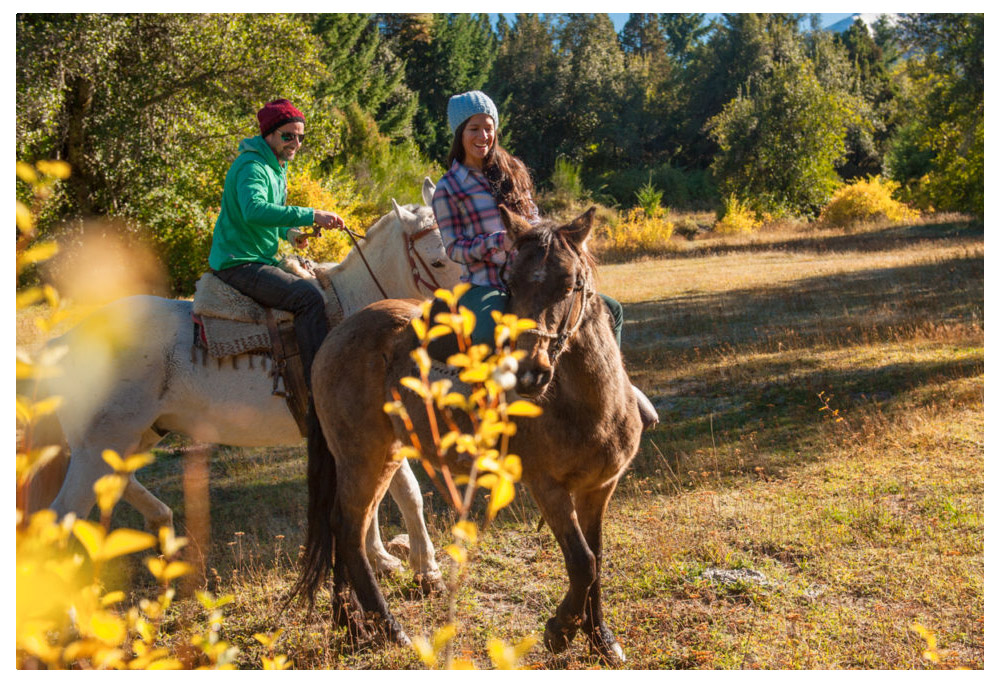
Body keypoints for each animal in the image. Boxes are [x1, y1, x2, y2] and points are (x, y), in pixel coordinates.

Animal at [33, 181, 458, 588]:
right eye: (438, 260)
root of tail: (65, 343)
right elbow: (406, 492)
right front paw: (426, 568)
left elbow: (373, 495)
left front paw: (382, 558)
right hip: (99, 447)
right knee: (61, 517)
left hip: (134, 438)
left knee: (119, 483)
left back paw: (163, 527)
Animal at [292, 206, 644, 664]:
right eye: (510, 283)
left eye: (569, 284)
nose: (528, 373)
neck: (584, 407)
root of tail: (335, 335)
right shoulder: (546, 488)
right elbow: (583, 562)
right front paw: (560, 630)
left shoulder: (599, 489)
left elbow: (597, 560)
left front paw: (601, 640)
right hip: (362, 457)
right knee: (348, 528)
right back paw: (388, 628)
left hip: (382, 455)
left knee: (346, 526)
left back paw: (350, 625)